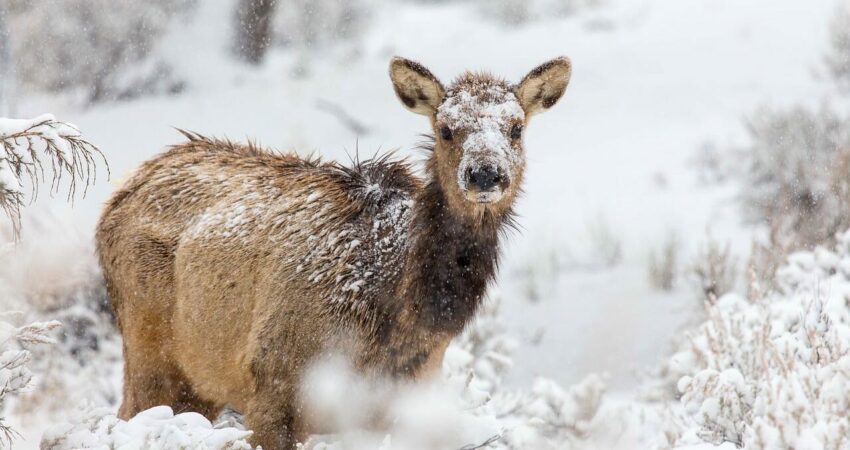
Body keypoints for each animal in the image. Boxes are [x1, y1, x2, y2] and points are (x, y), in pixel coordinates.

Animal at [94, 57, 568, 450]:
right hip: (148, 349)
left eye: (516, 128)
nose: (485, 174)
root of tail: (121, 192)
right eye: (445, 129)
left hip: (199, 381)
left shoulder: (399, 401)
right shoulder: (273, 381)